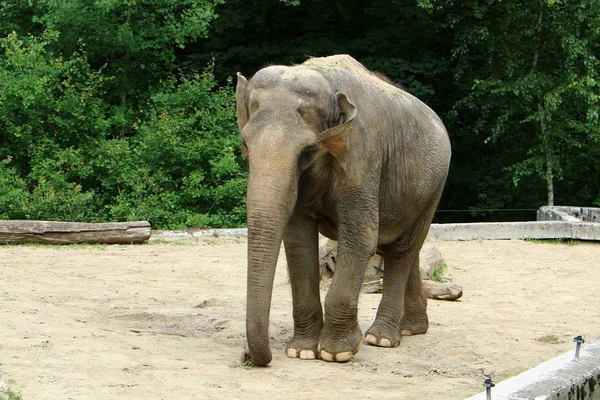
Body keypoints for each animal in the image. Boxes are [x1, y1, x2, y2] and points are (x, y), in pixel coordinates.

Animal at [237, 54, 452, 366]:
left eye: (307, 150)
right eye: (245, 143)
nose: (248, 357)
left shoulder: (361, 158)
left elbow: (360, 238)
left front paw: (335, 353)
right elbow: (299, 242)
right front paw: (301, 351)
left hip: (435, 185)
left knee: (403, 250)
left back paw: (381, 339)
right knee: (403, 248)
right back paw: (411, 329)